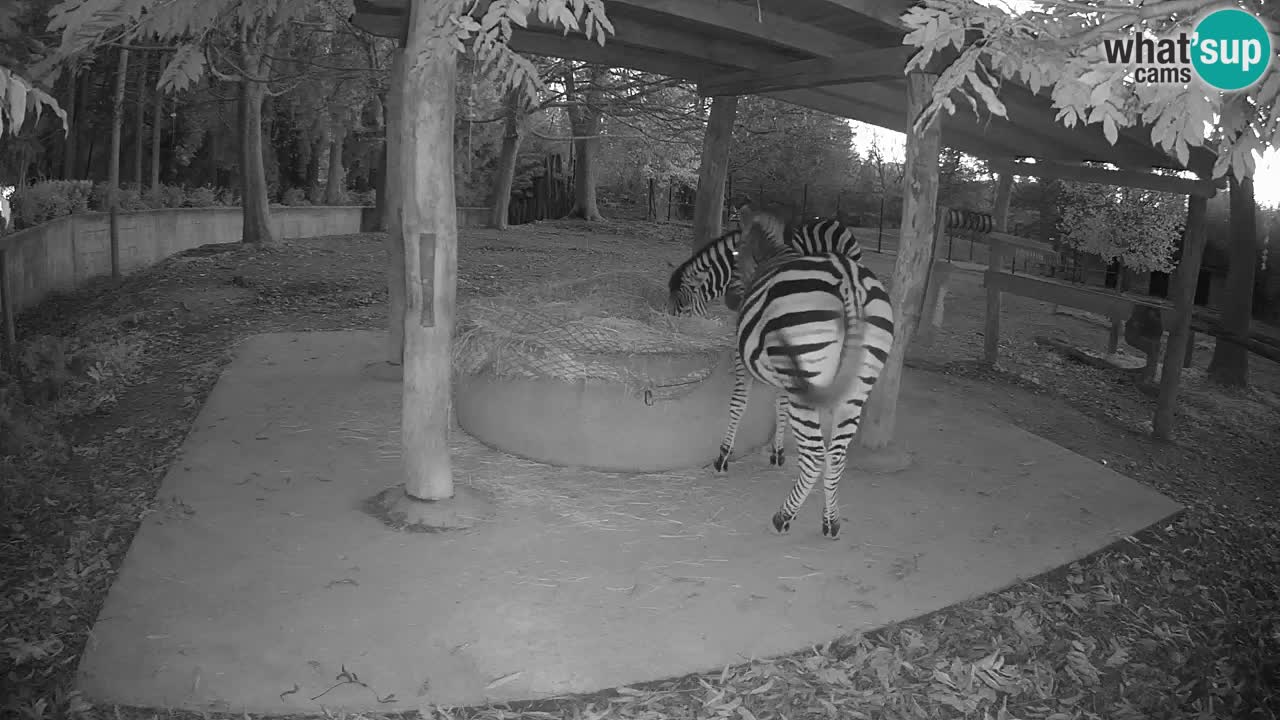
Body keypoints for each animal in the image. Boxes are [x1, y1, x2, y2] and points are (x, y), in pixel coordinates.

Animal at [732, 207, 895, 538]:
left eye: (736, 251)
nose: (732, 300)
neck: (773, 256)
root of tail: (849, 281)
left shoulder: (744, 362)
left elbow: (738, 404)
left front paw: (722, 456)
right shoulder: (783, 374)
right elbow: (779, 407)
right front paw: (777, 453)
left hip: (807, 385)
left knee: (817, 456)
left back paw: (784, 516)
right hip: (853, 390)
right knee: (836, 456)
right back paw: (830, 521)